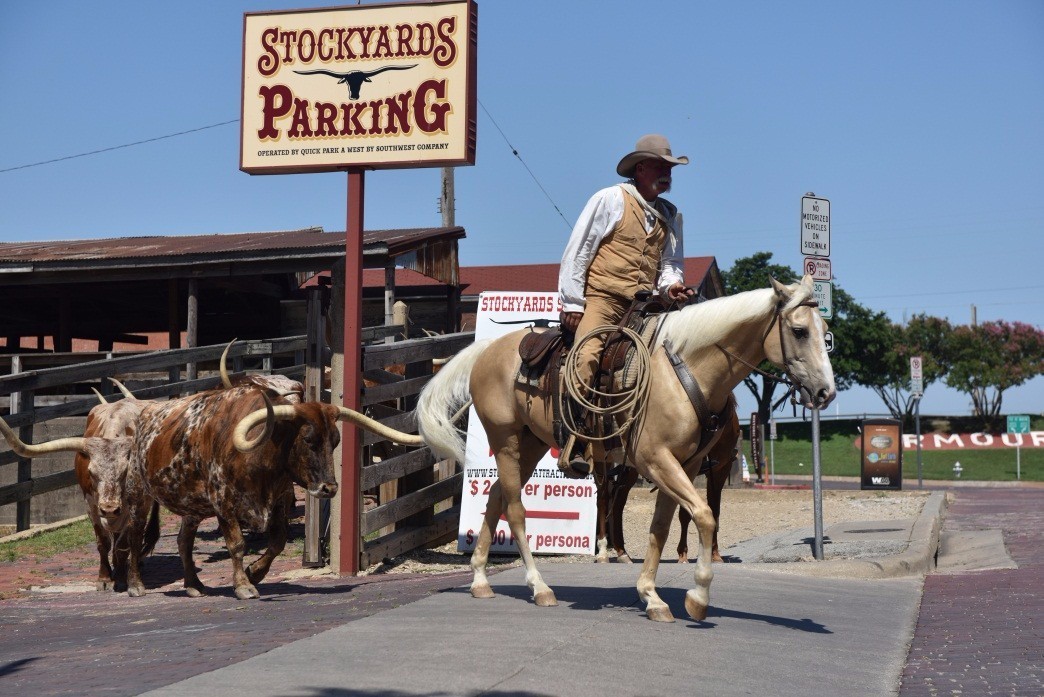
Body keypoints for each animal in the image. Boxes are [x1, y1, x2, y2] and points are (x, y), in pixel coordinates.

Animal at [411, 273, 835, 621]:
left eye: (825, 332)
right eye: (799, 331)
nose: (826, 392)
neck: (685, 369)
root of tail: (486, 350)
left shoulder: (682, 463)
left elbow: (662, 526)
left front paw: (651, 596)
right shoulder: (656, 460)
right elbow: (703, 515)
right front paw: (698, 596)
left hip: (528, 445)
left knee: (496, 495)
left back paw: (481, 578)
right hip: (506, 440)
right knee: (514, 508)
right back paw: (539, 586)